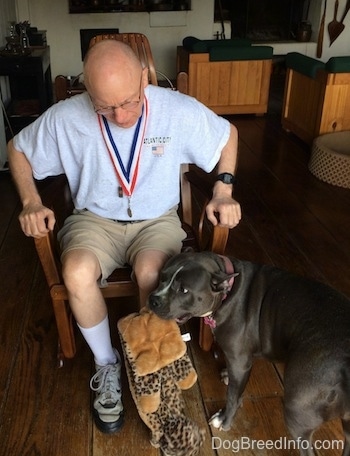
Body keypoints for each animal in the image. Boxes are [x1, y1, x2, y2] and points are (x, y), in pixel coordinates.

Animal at [148, 251, 350, 456]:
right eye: (162, 276)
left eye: (184, 290)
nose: (153, 299)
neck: (226, 289)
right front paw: (226, 375)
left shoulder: (239, 362)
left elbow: (232, 396)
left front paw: (224, 419)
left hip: (298, 409)